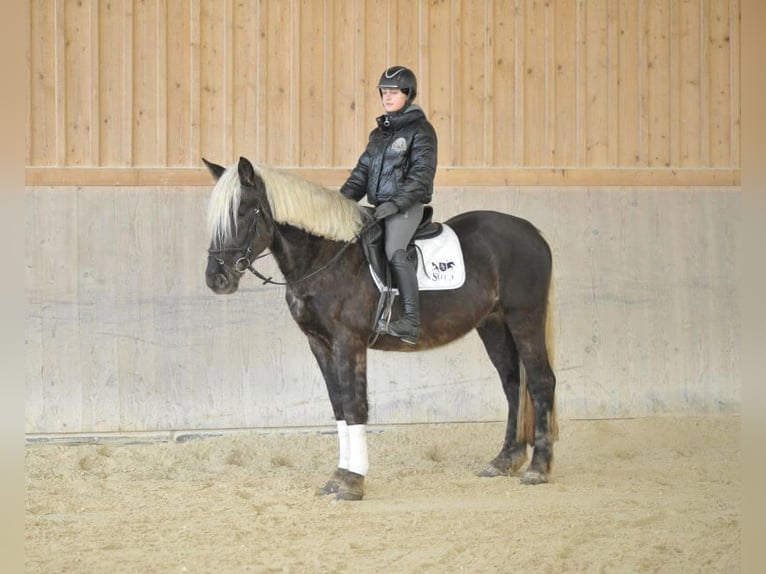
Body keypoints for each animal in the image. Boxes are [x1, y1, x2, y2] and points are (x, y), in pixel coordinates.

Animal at [204, 158, 560, 504]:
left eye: (241, 212)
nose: (216, 279)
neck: (325, 257)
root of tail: (533, 232)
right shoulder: (319, 343)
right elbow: (338, 404)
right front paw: (337, 477)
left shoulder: (349, 341)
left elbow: (354, 404)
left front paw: (353, 482)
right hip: (494, 325)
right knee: (513, 384)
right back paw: (504, 461)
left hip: (524, 317)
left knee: (541, 381)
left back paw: (537, 469)